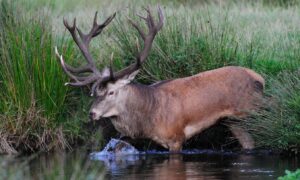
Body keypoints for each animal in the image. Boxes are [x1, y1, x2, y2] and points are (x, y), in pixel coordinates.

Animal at [55, 7, 264, 153]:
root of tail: (259, 78)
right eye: (94, 92)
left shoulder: (176, 136)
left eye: (111, 92)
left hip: (251, 110)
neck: (149, 117)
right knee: (248, 143)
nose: (92, 113)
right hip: (234, 121)